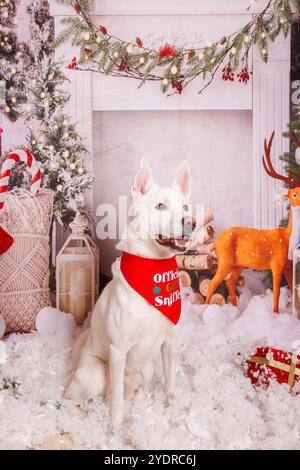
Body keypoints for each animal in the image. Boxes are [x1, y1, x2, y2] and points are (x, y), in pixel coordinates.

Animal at [64, 161, 196, 430]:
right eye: (160, 206)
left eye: (186, 207)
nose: (191, 222)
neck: (154, 268)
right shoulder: (118, 351)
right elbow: (116, 402)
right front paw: (114, 428)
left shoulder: (170, 342)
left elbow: (170, 382)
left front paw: (172, 406)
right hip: (94, 373)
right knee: (74, 396)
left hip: (145, 371)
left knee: (119, 392)